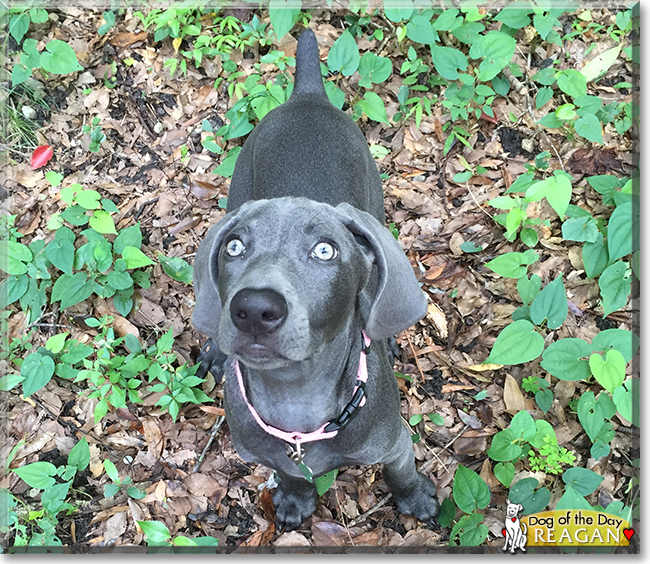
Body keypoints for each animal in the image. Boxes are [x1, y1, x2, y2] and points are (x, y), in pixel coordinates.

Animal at [190, 28, 438, 532]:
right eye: (234, 247)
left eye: (326, 251)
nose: (254, 309)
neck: (296, 403)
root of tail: (307, 95)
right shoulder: (270, 454)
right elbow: (289, 473)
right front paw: (295, 497)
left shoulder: (395, 442)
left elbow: (402, 471)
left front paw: (416, 497)